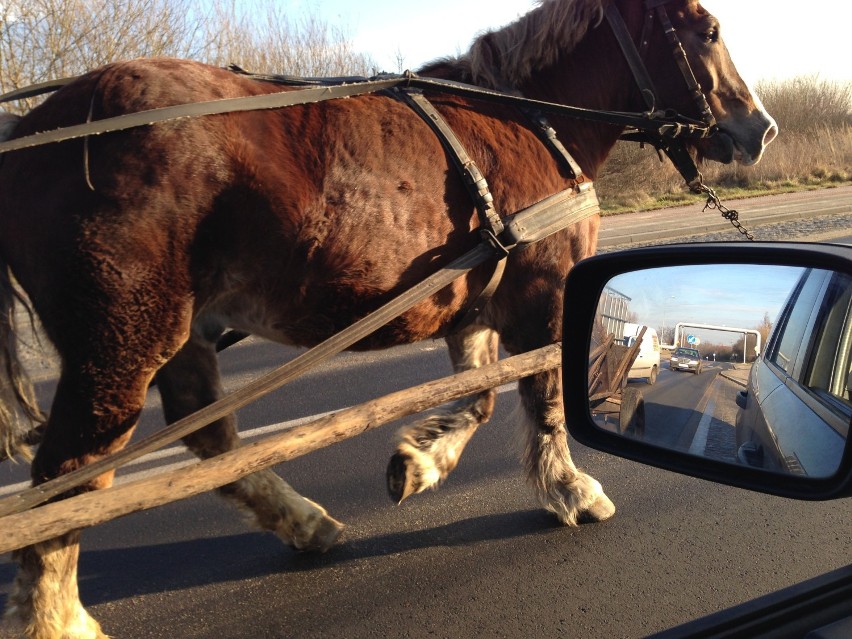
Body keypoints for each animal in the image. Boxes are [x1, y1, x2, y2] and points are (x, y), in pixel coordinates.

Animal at [0, 1, 772, 636]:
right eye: (708, 30)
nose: (759, 128)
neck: (526, 119)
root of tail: (36, 127)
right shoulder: (545, 291)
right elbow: (545, 396)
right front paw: (569, 488)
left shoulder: (476, 304)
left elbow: (481, 399)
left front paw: (420, 461)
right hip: (126, 339)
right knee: (68, 477)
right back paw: (56, 620)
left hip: (180, 332)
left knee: (207, 435)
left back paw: (304, 522)